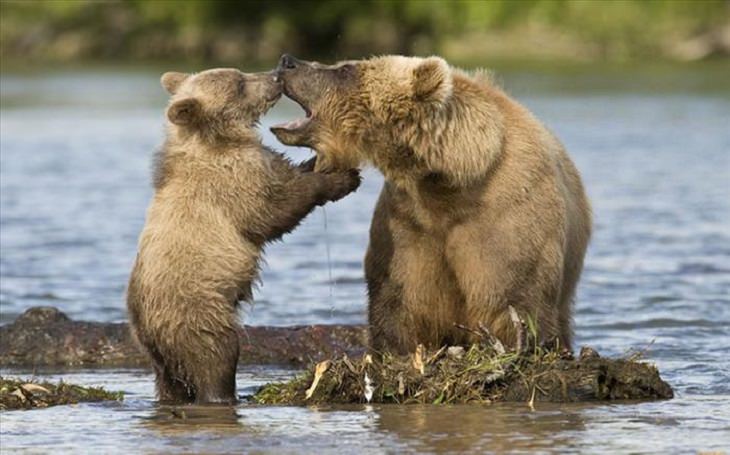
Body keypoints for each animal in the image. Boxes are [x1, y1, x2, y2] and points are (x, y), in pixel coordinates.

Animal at [129, 67, 362, 402]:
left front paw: (320, 162)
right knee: (217, 355)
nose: (276, 75)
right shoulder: (233, 180)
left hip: (158, 354)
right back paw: (226, 393)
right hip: (197, 312)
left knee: (170, 381)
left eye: (241, 74)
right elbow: (275, 210)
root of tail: (147, 329)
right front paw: (342, 179)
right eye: (239, 84)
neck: (217, 139)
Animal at [270, 54, 588, 356]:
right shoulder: (409, 222)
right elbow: (400, 298)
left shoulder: (506, 215)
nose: (288, 62)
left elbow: (512, 296)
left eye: (346, 69)